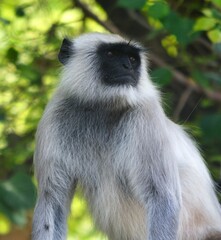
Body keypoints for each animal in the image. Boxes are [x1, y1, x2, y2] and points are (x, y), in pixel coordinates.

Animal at [32, 32, 221, 240]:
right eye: (111, 54)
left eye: (132, 59)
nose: (127, 67)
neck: (102, 108)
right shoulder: (54, 117)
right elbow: (52, 201)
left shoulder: (146, 115)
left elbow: (162, 198)